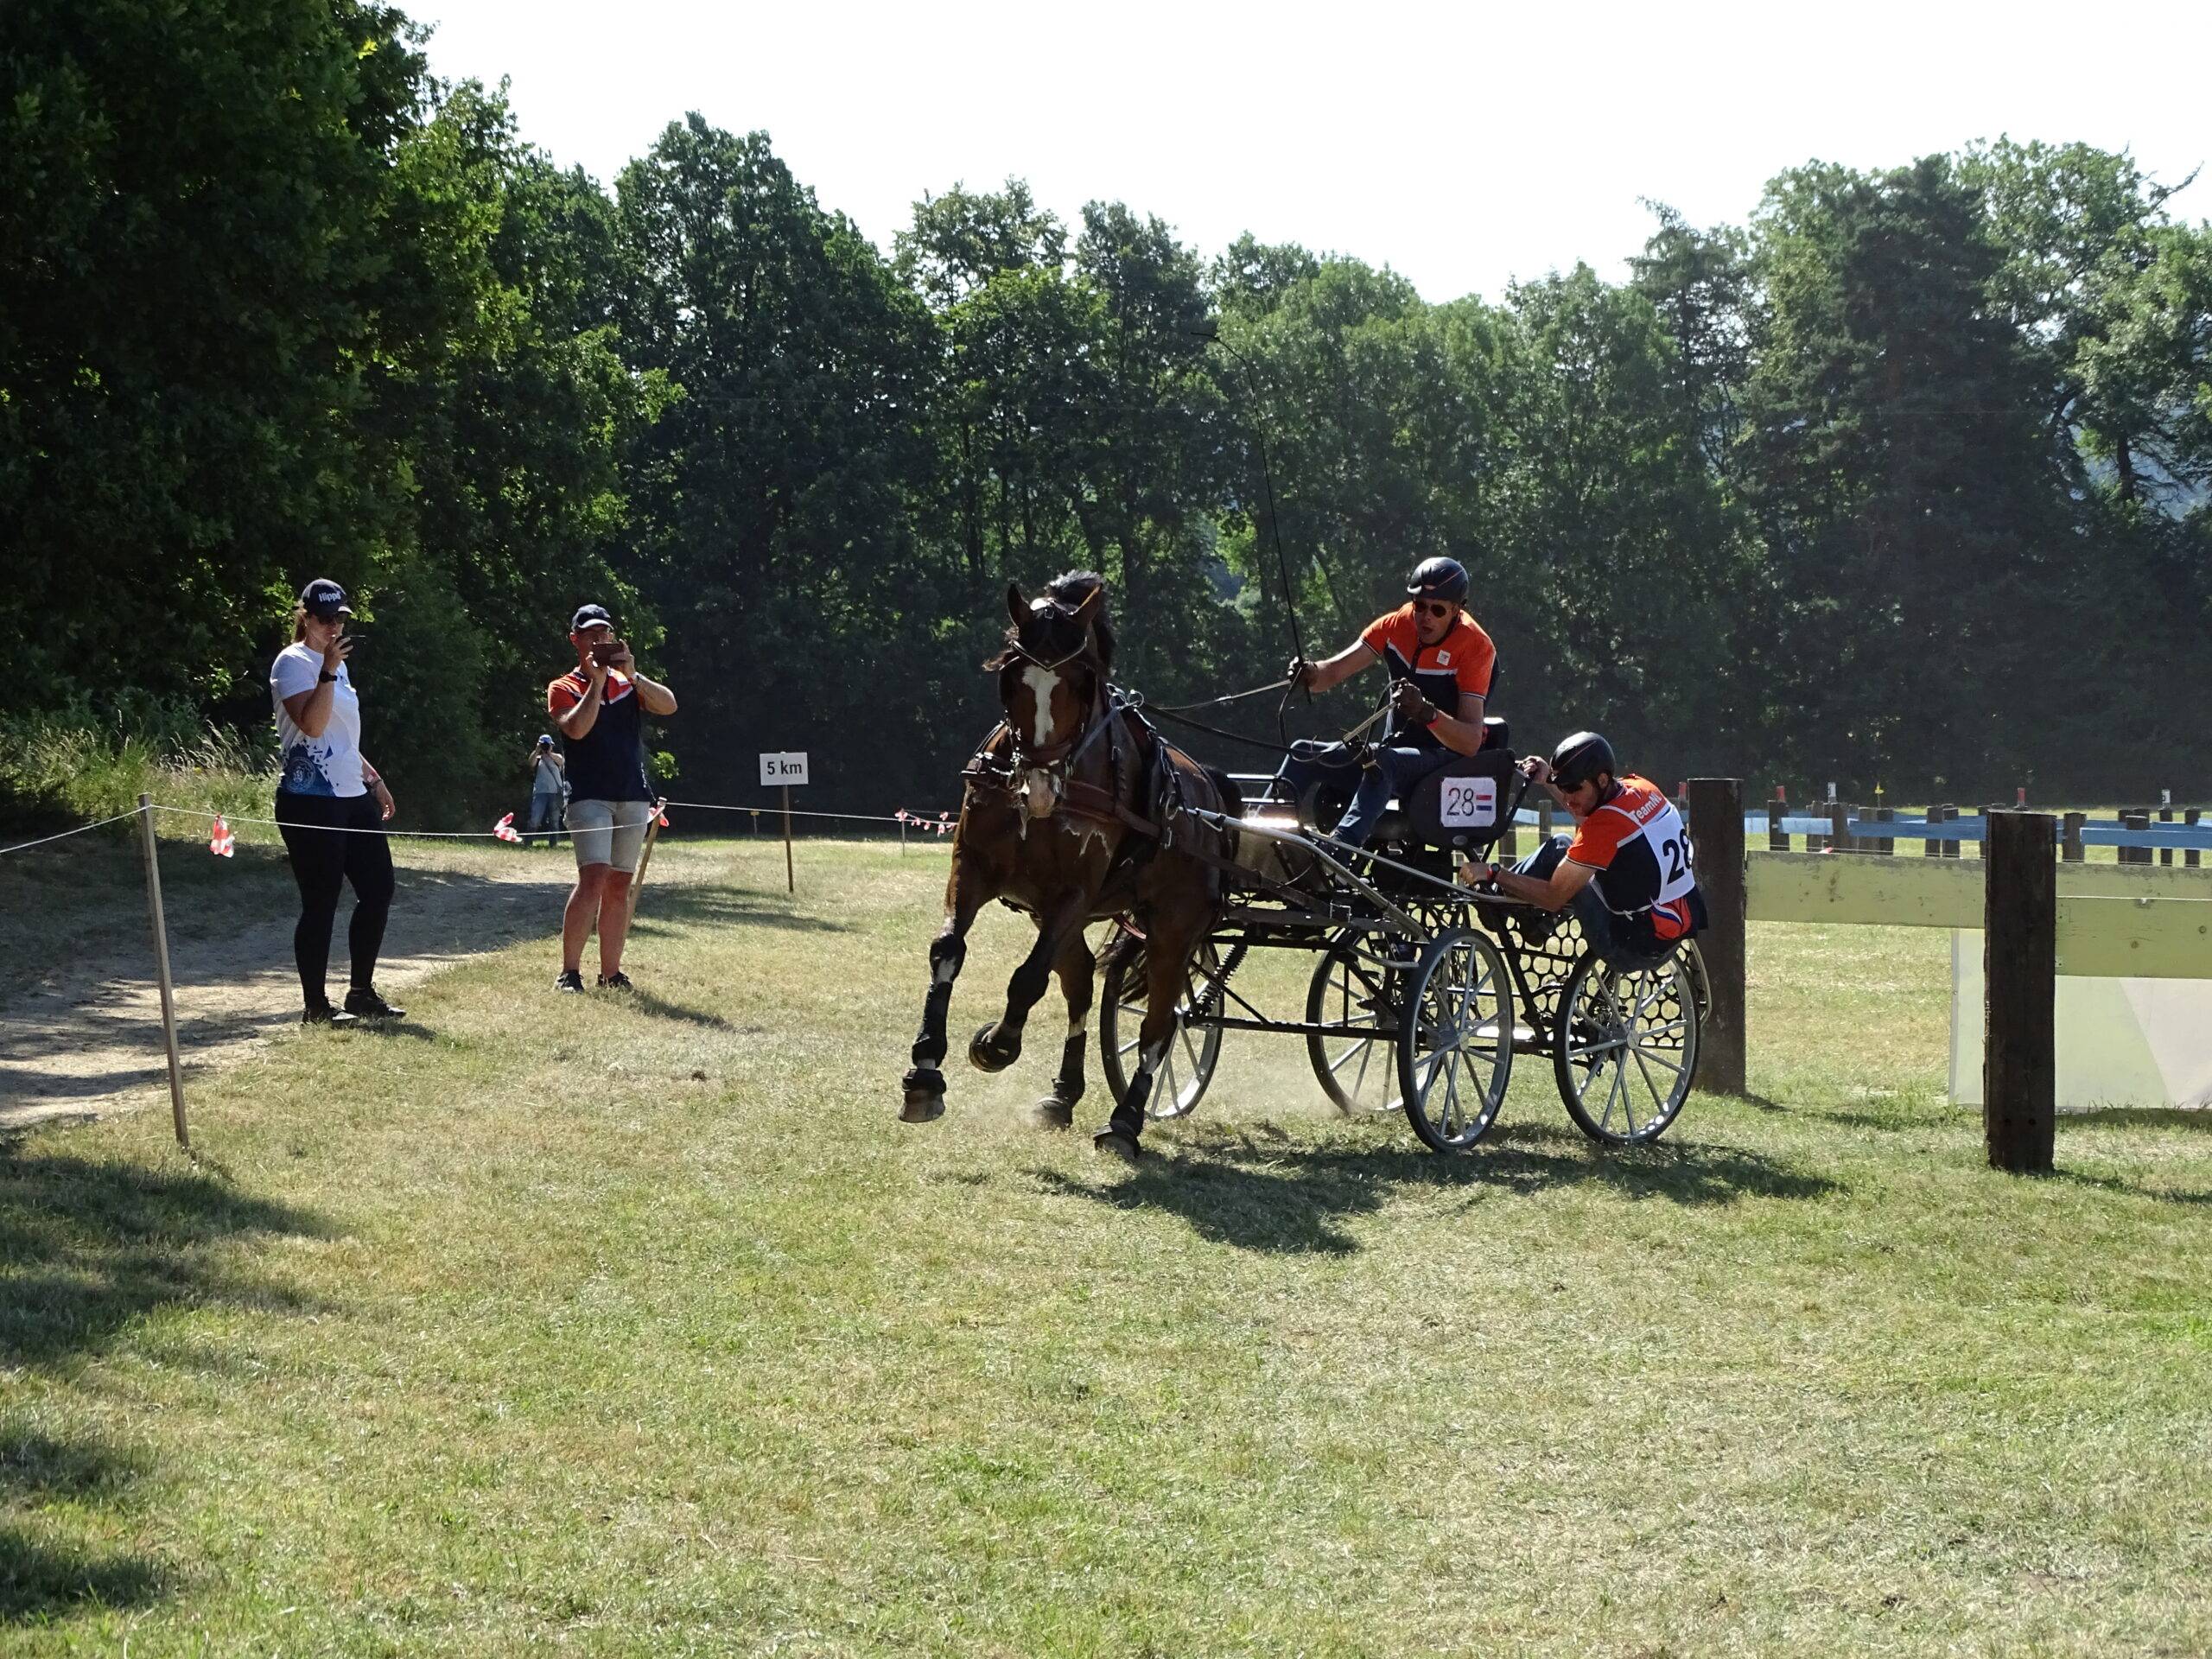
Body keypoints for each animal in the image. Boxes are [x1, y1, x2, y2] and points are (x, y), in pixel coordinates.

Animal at [898, 571, 1238, 1159]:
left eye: (1081, 681)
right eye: (1011, 676)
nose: (1037, 789)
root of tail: (1209, 793)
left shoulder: (1073, 893)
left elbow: (1028, 978)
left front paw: (997, 1045)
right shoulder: (973, 867)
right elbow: (948, 951)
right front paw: (924, 1073)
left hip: (1172, 930)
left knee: (1160, 1023)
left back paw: (1126, 1120)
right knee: (1081, 986)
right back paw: (1063, 1095)